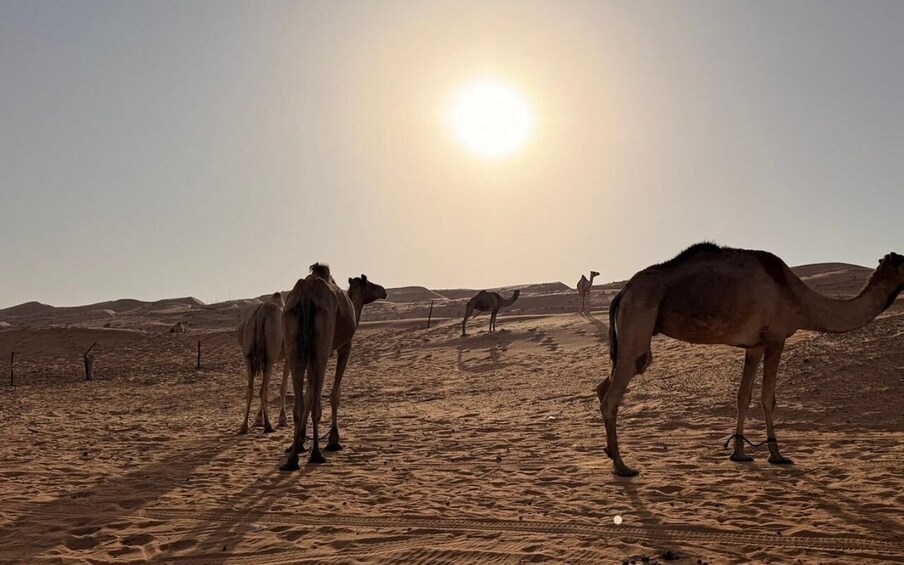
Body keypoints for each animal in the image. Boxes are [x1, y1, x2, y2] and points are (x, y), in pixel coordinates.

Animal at [237, 292, 291, 434]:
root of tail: (260, 312)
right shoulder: (289, 356)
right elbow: (283, 387)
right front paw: (283, 419)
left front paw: (257, 419)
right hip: (270, 356)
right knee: (264, 390)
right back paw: (268, 425)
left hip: (248, 356)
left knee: (251, 390)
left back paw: (244, 427)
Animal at [280, 264, 386, 470]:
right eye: (370, 283)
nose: (384, 290)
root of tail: (305, 296)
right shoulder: (345, 347)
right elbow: (334, 394)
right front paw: (334, 440)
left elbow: (308, 394)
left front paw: (300, 442)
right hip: (321, 347)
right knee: (316, 403)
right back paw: (316, 453)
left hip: (295, 344)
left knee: (299, 403)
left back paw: (292, 459)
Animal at [600, 243, 904, 477]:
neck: (799, 299)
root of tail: (623, 292)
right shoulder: (777, 338)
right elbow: (768, 397)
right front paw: (777, 454)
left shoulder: (755, 345)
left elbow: (743, 395)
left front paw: (740, 452)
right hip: (637, 324)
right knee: (612, 395)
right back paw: (623, 466)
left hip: (629, 339)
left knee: (603, 386)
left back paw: (609, 452)